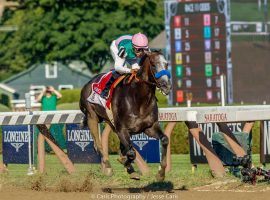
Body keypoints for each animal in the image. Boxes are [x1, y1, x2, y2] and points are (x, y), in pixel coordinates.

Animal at [79, 50, 171, 181]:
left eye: (166, 64)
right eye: (153, 65)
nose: (166, 86)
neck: (139, 99)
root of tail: (87, 83)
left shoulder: (149, 127)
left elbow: (164, 139)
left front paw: (161, 173)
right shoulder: (122, 129)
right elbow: (131, 153)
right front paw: (127, 165)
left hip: (111, 123)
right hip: (92, 116)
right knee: (98, 144)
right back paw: (108, 167)